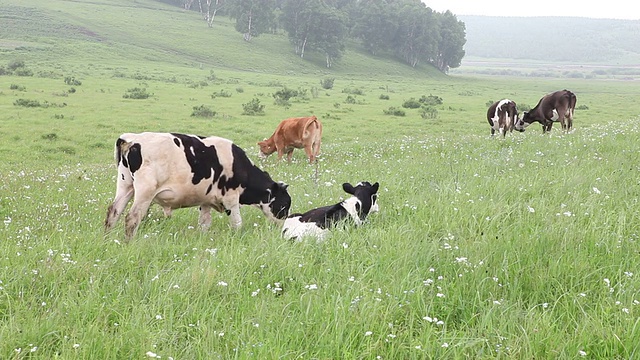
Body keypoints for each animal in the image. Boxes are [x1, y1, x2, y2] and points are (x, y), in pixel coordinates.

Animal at [105, 131, 292, 239]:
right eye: (285, 204)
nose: (283, 227)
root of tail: (131, 138)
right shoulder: (231, 199)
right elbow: (237, 223)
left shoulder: (206, 201)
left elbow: (204, 223)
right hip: (145, 191)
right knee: (132, 218)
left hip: (125, 186)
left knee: (113, 212)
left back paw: (107, 239)